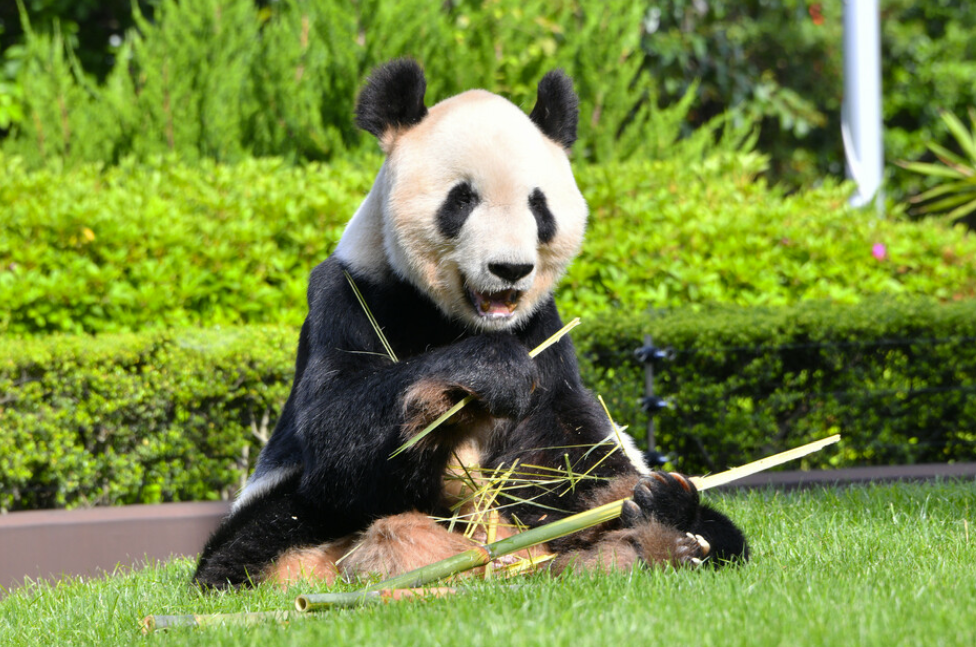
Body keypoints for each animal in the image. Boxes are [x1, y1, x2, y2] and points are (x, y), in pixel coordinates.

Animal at [194, 60, 752, 592]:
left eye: (538, 205)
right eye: (462, 200)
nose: (510, 268)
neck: (460, 321)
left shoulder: (544, 333)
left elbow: (562, 454)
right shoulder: (349, 295)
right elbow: (337, 434)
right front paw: (484, 374)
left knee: (711, 530)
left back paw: (655, 531)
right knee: (263, 539)